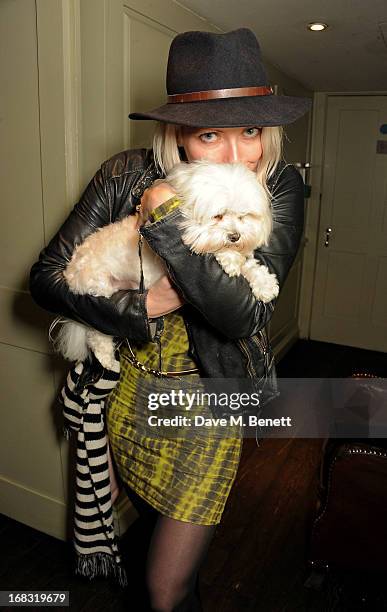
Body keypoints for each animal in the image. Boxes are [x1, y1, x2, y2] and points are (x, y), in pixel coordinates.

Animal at [53, 159, 278, 368]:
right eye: (218, 216)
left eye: (243, 216)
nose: (235, 236)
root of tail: (70, 272)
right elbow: (212, 247)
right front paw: (230, 258)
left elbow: (250, 266)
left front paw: (265, 284)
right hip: (100, 288)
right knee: (96, 333)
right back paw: (107, 360)